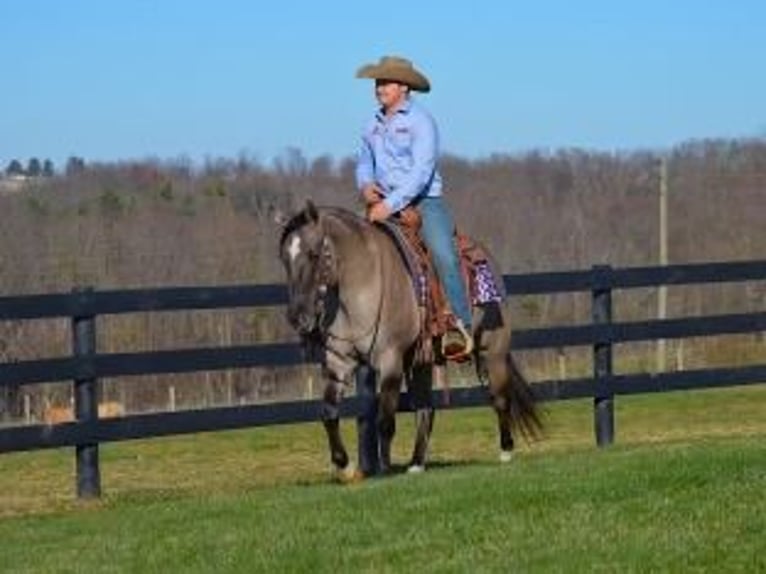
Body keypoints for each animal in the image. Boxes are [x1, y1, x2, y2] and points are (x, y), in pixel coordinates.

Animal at [276, 200, 540, 480]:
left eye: (314, 253)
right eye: (284, 258)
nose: (297, 316)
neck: (362, 285)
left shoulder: (390, 360)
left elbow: (384, 420)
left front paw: (383, 470)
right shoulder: (339, 362)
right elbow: (328, 413)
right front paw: (345, 467)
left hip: (492, 350)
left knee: (500, 397)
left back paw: (506, 451)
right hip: (421, 361)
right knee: (426, 409)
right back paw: (416, 463)